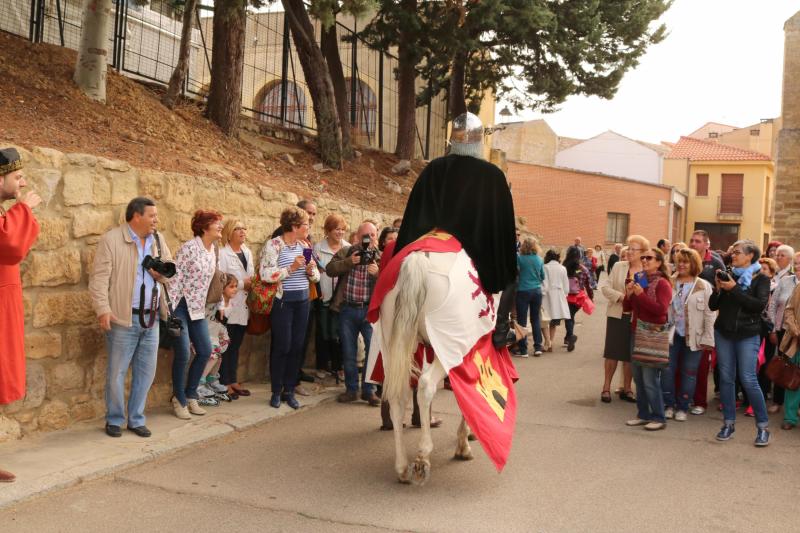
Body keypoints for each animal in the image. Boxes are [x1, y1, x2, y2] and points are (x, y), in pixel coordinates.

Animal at [376, 250, 476, 486]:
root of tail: (418, 259)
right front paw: (464, 444)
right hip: (446, 347)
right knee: (426, 385)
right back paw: (423, 456)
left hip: (393, 347)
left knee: (398, 396)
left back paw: (402, 467)